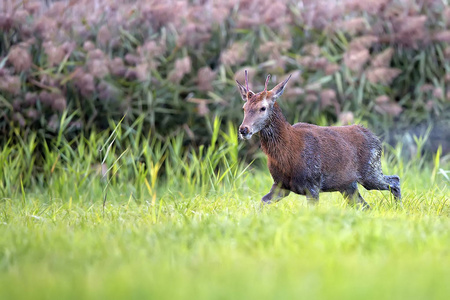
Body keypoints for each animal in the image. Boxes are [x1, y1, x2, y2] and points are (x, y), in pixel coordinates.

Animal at [237, 71, 402, 210]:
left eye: (263, 108)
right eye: (244, 108)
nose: (243, 129)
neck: (287, 152)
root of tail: (375, 139)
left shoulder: (312, 183)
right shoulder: (280, 185)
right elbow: (261, 203)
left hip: (370, 170)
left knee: (395, 180)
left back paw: (399, 208)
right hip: (348, 185)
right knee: (365, 205)